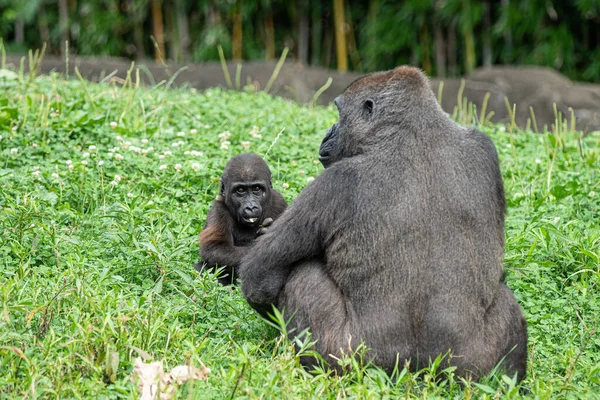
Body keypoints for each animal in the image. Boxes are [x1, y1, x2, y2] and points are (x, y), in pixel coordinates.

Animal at [193, 152, 284, 286]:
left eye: (257, 189)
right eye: (240, 190)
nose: (251, 207)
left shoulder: (280, 201)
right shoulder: (218, 211)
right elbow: (215, 248)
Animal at [237, 66, 528, 382]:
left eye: (339, 113)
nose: (329, 133)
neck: (413, 130)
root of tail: (416, 371)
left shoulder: (337, 181)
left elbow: (261, 274)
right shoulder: (485, 149)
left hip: (353, 358)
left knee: (303, 276)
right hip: (469, 365)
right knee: (507, 304)